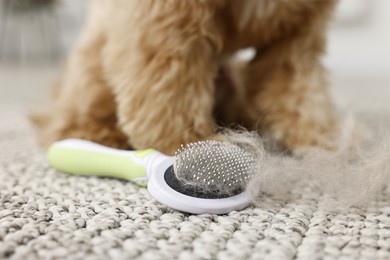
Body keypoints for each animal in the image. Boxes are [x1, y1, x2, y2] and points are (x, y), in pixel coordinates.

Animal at [34, 0, 338, 154]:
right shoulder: (169, 19)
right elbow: (172, 86)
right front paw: (190, 143)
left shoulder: (297, 37)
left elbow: (299, 92)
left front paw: (318, 141)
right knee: (66, 123)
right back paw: (100, 134)